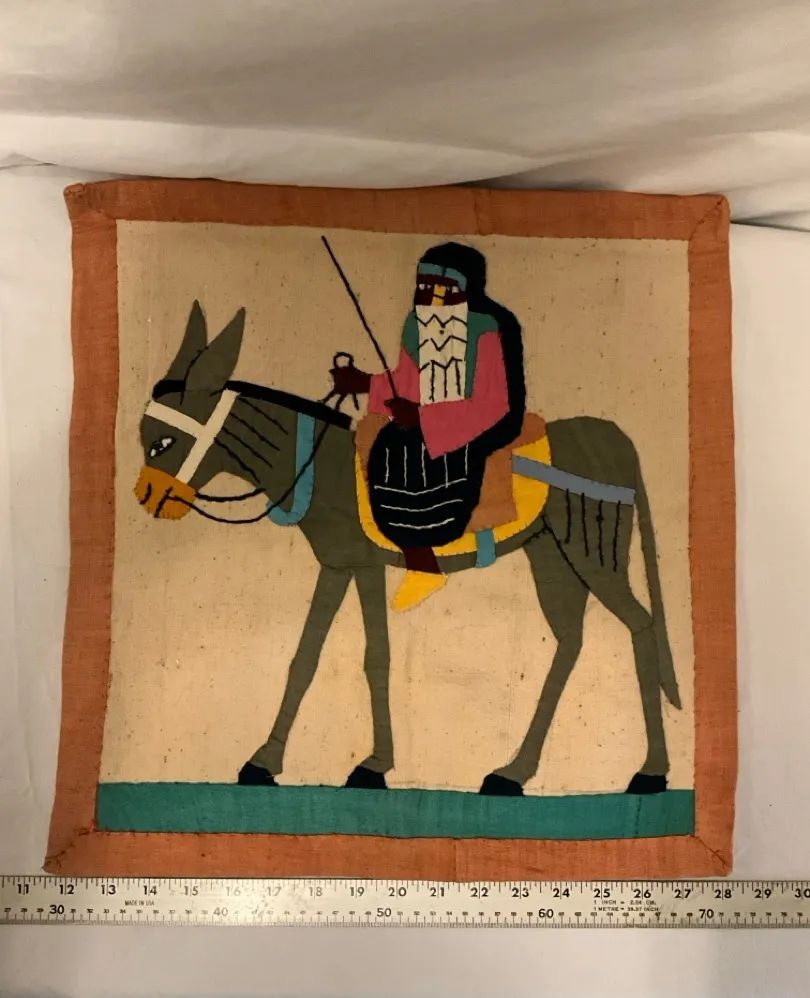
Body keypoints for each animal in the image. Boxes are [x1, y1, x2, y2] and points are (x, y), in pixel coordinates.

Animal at [135, 302, 682, 796]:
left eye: (162, 443)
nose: (146, 497)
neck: (317, 464)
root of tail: (617, 439)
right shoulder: (343, 564)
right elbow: (310, 656)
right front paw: (269, 761)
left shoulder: (360, 562)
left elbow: (373, 654)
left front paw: (369, 767)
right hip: (550, 552)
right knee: (571, 640)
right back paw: (513, 772)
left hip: (592, 546)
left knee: (640, 626)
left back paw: (650, 772)